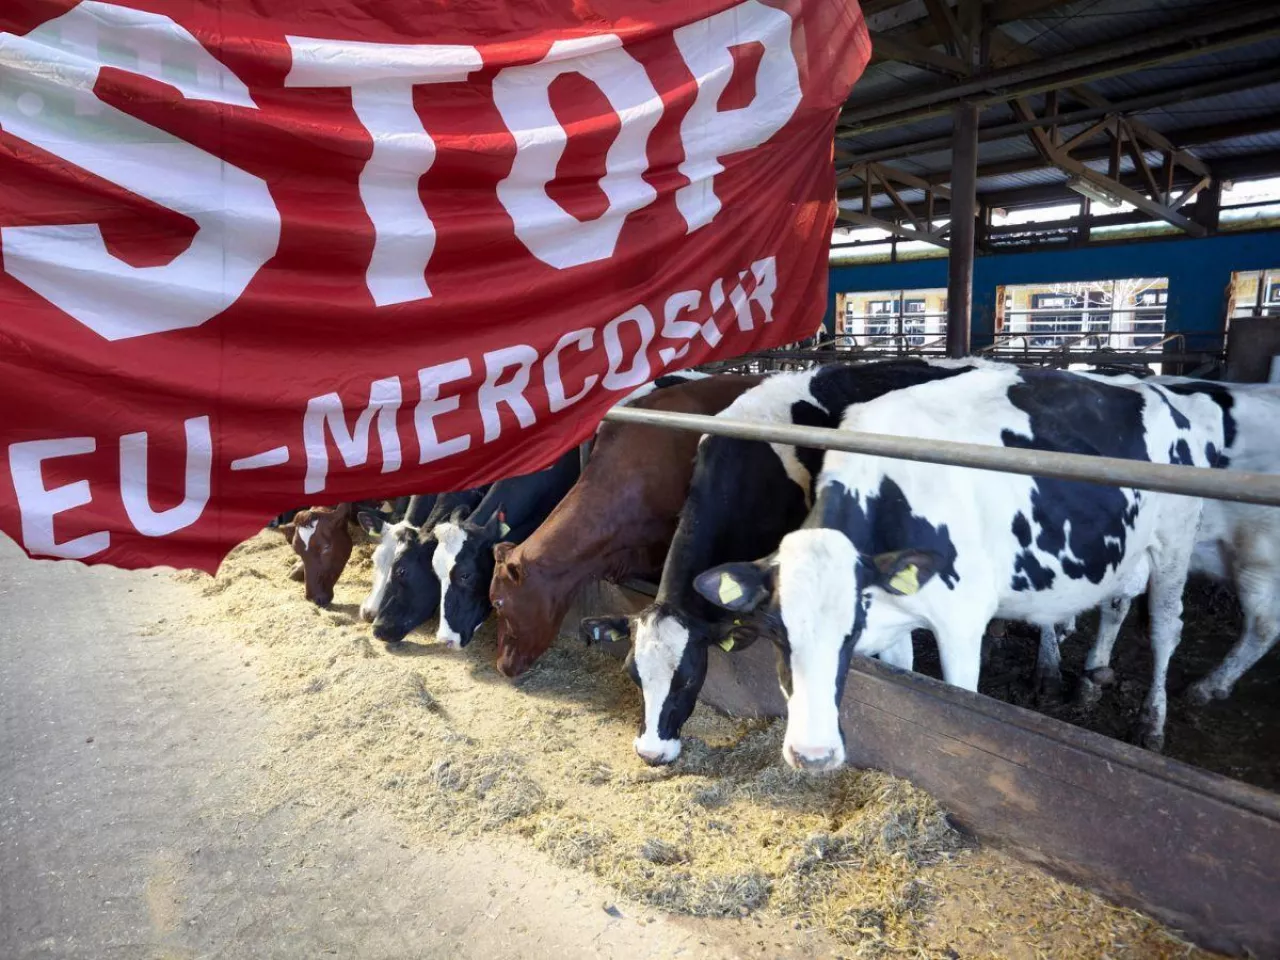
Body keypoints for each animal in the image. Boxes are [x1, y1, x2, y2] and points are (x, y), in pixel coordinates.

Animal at [696, 363, 1223, 773]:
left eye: (851, 631)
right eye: (776, 632)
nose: (812, 755)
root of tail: (1152, 390)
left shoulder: (962, 623)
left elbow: (960, 702)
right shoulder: (896, 618)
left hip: (1176, 537)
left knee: (1165, 627)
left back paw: (1151, 721)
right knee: (1116, 602)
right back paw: (1091, 680)